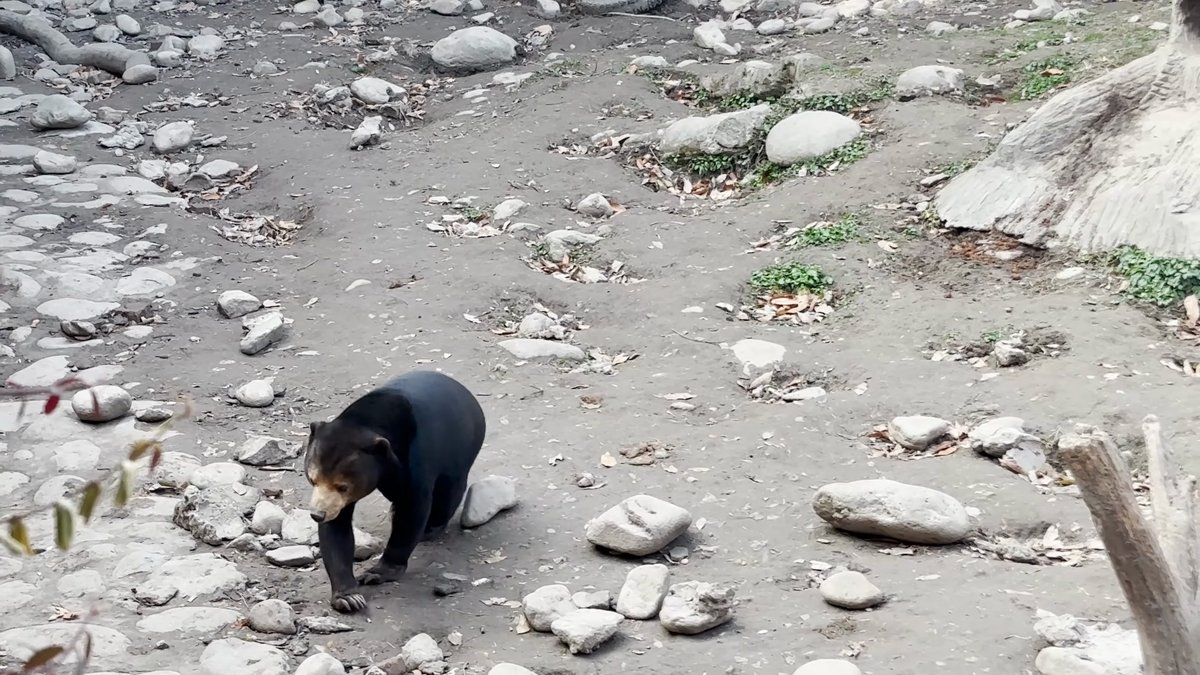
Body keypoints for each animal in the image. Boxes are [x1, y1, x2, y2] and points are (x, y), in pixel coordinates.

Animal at [303, 369, 487, 613]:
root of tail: (464, 390)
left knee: (448, 492)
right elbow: (337, 530)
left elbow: (412, 509)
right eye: (312, 479)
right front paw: (349, 597)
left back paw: (431, 528)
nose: (317, 514)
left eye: (343, 486)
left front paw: (376, 573)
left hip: (461, 448)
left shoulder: (415, 456)